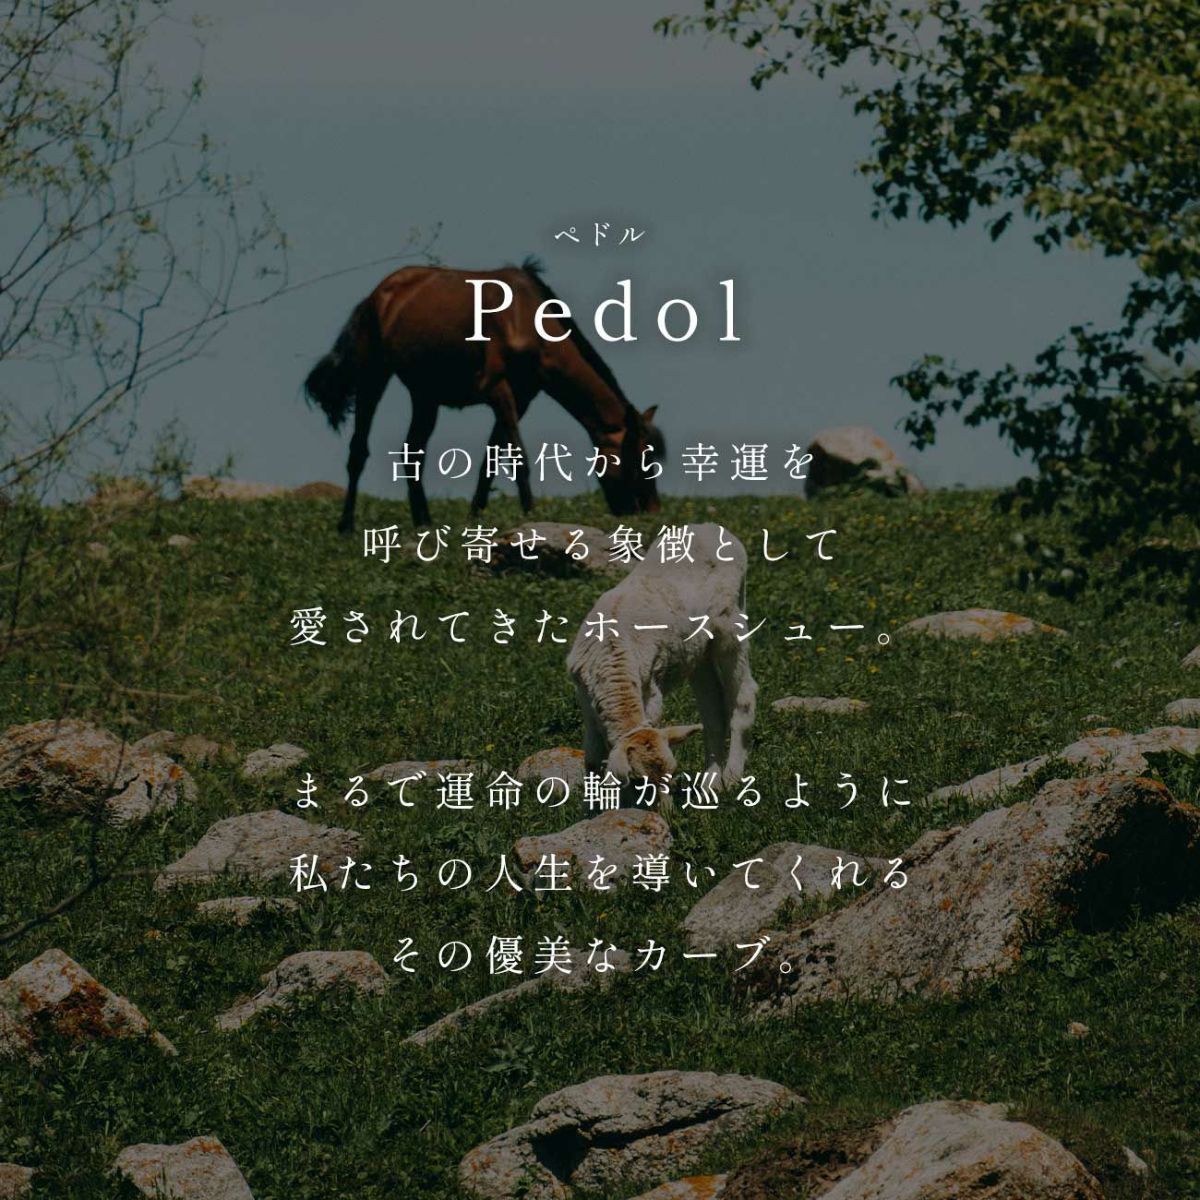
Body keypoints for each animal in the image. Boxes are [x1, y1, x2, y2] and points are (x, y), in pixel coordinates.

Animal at [303, 257, 664, 532]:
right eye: (639, 459)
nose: (652, 513)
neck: (526, 319)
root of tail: (377, 295)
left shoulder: (521, 397)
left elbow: (490, 461)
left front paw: (475, 518)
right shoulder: (497, 390)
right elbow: (518, 458)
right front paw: (531, 516)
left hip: (425, 394)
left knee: (413, 453)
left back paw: (424, 522)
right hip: (373, 376)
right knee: (358, 450)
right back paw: (346, 525)